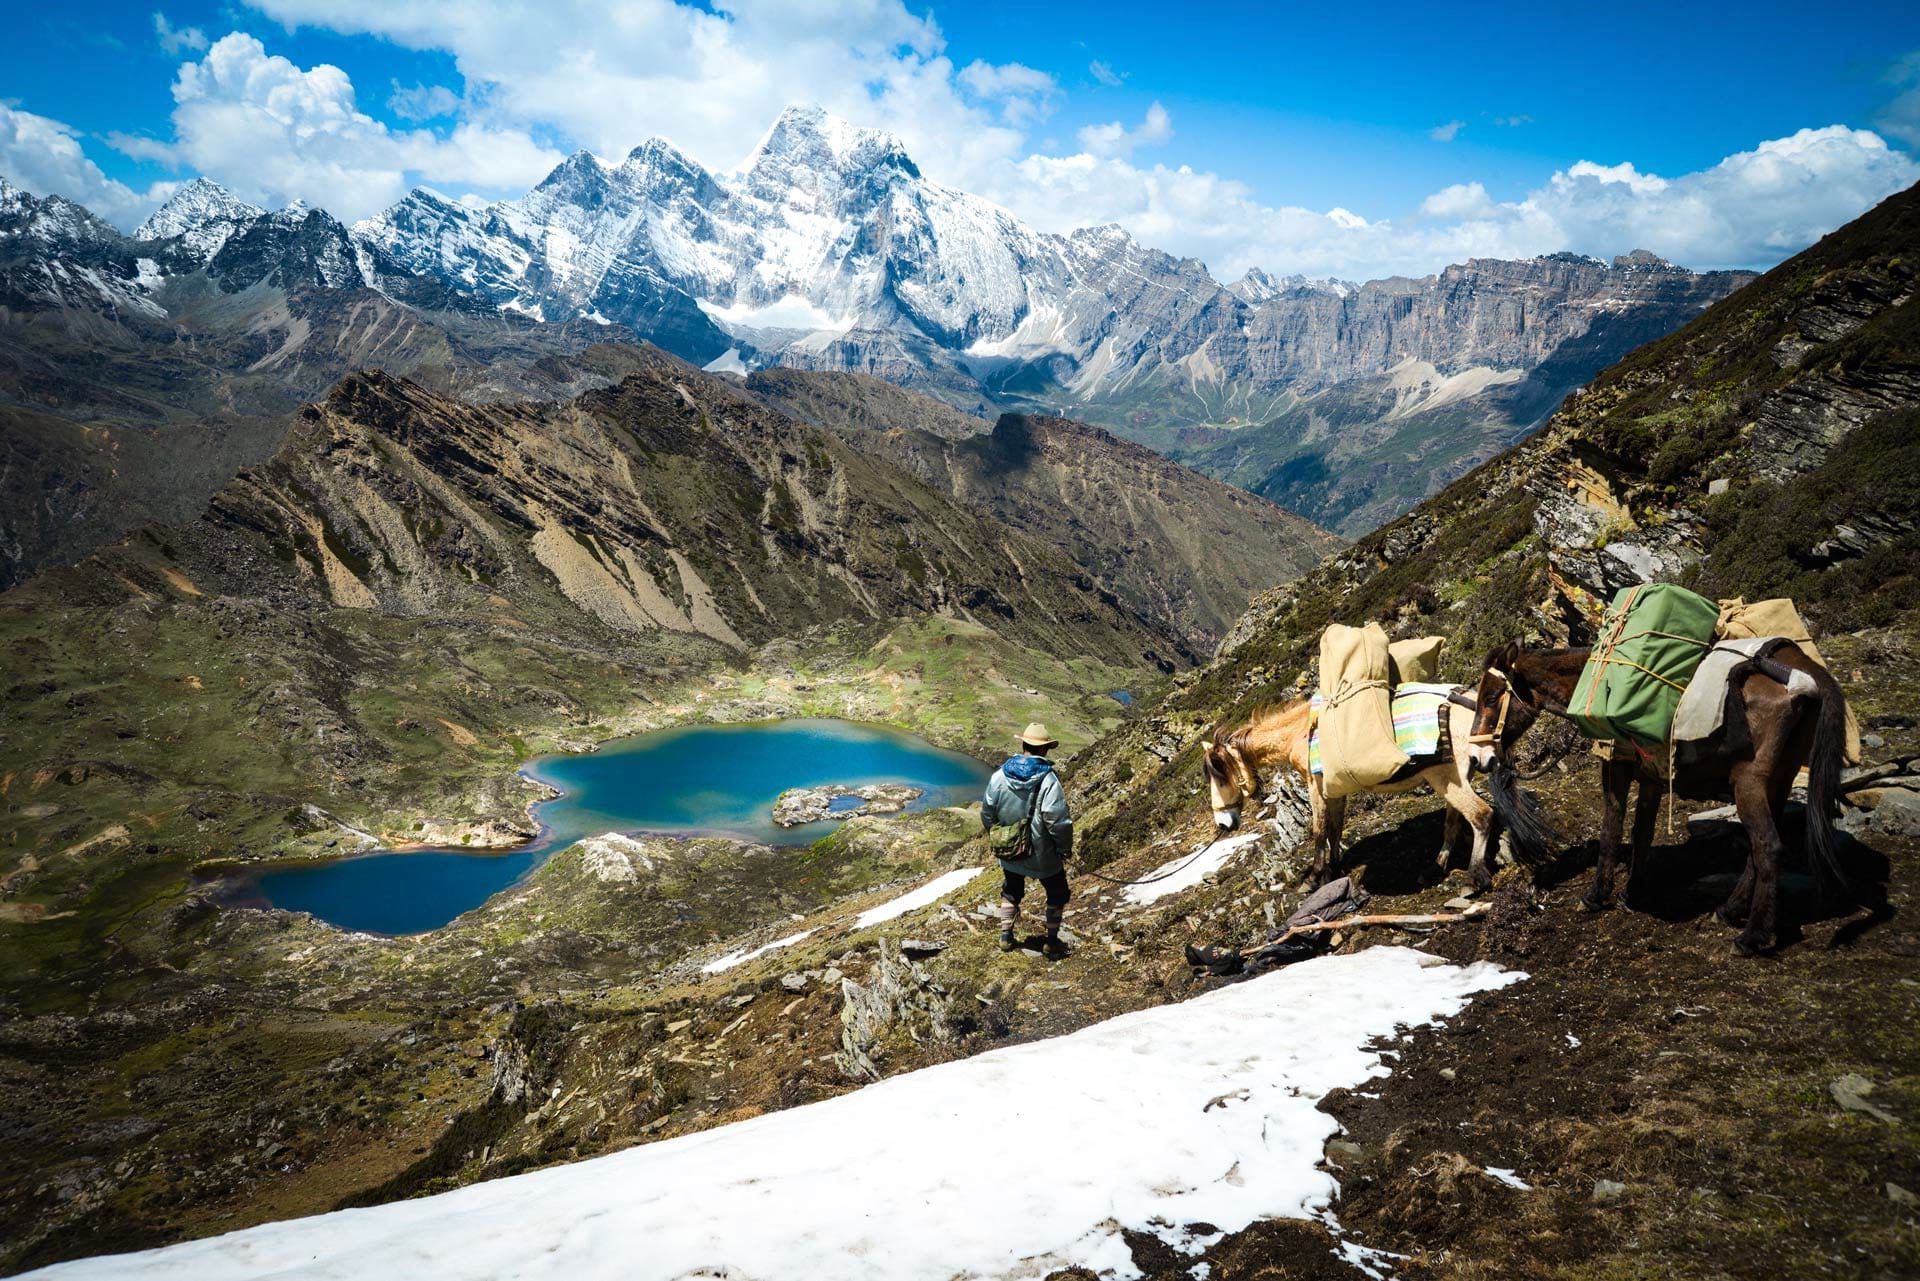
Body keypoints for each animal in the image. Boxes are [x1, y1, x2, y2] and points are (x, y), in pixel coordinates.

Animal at [1198, 702, 1497, 891]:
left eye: (1220, 777)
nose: (1223, 823)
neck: (1301, 733)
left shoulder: (1315, 786)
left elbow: (1319, 830)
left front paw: (1314, 877)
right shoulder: (1334, 790)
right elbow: (1335, 828)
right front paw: (1334, 868)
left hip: (1447, 780)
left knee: (1481, 816)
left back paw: (1473, 878)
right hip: (1455, 781)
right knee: (1453, 822)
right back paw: (1435, 867)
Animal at [1459, 637, 1850, 952]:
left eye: (1491, 697)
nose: (1478, 758)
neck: (1591, 682)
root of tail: (1804, 672)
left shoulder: (1615, 769)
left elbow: (1611, 828)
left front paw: (1596, 896)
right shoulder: (1650, 776)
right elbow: (1642, 830)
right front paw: (1632, 891)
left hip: (1749, 783)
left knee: (1768, 847)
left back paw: (1753, 937)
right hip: (1779, 780)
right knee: (1759, 850)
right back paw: (1728, 911)